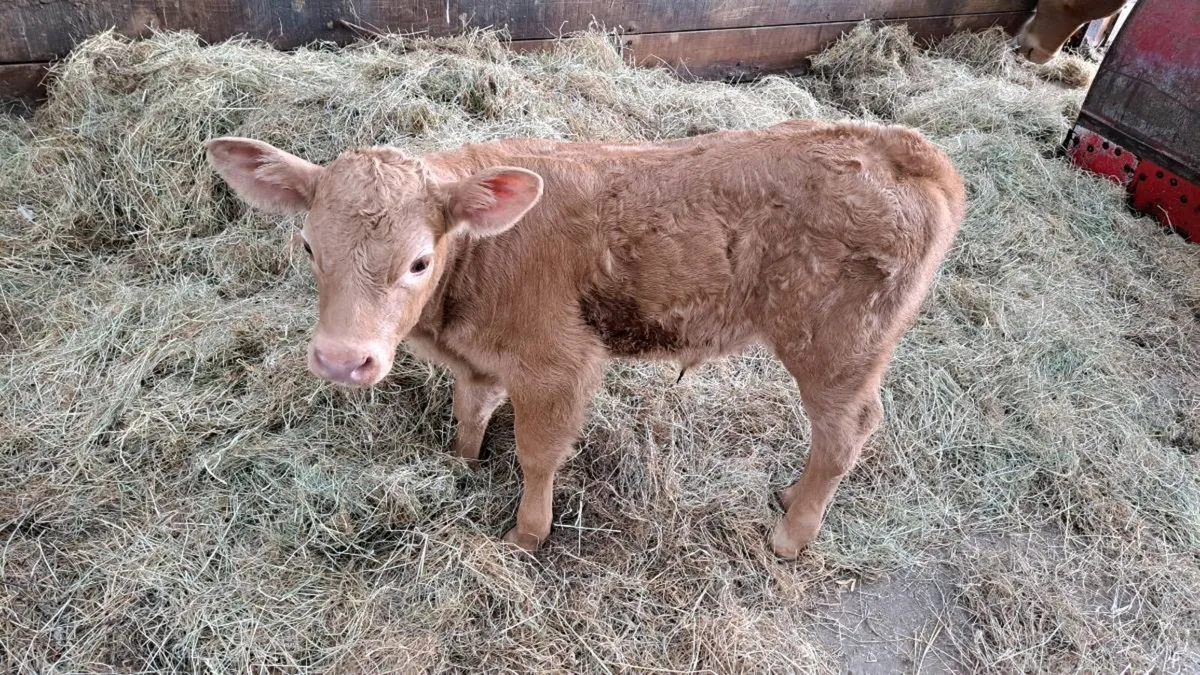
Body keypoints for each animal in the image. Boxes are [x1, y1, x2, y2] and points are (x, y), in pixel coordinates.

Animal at [205, 119, 965, 559]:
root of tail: (905, 149)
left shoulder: (556, 364)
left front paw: (525, 534)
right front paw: (460, 462)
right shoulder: (480, 358)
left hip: (837, 346)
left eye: (419, 260)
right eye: (309, 245)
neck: (478, 261)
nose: (342, 359)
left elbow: (538, 454)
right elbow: (470, 410)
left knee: (846, 432)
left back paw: (789, 535)